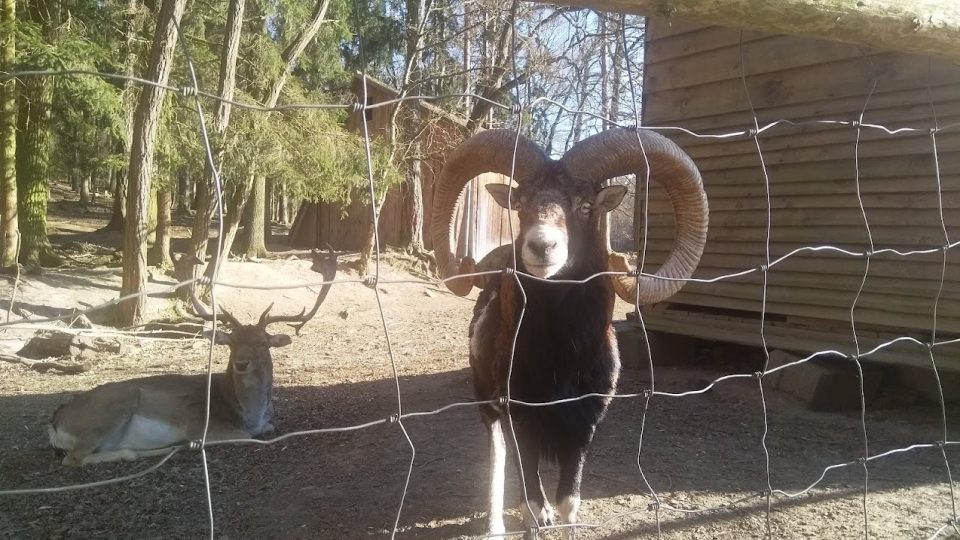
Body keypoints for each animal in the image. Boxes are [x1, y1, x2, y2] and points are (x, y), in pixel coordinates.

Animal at [50, 249, 342, 464]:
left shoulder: (264, 423)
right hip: (113, 407)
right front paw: (198, 441)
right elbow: (247, 436)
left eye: (263, 342)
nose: (241, 363)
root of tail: (55, 423)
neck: (249, 413)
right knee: (72, 458)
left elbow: (267, 429)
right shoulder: (201, 422)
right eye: (230, 342)